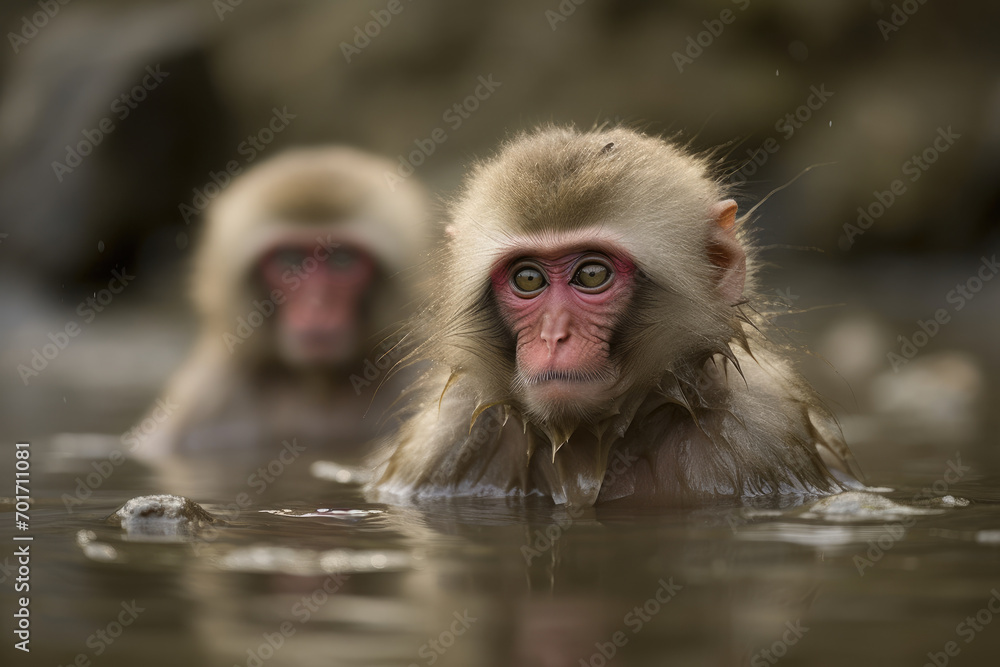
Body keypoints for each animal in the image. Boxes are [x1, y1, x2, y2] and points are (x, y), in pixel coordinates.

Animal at [367, 126, 864, 507]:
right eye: (528, 279)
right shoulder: (441, 445)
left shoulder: (758, 436)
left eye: (592, 274)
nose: (553, 336)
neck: (587, 447)